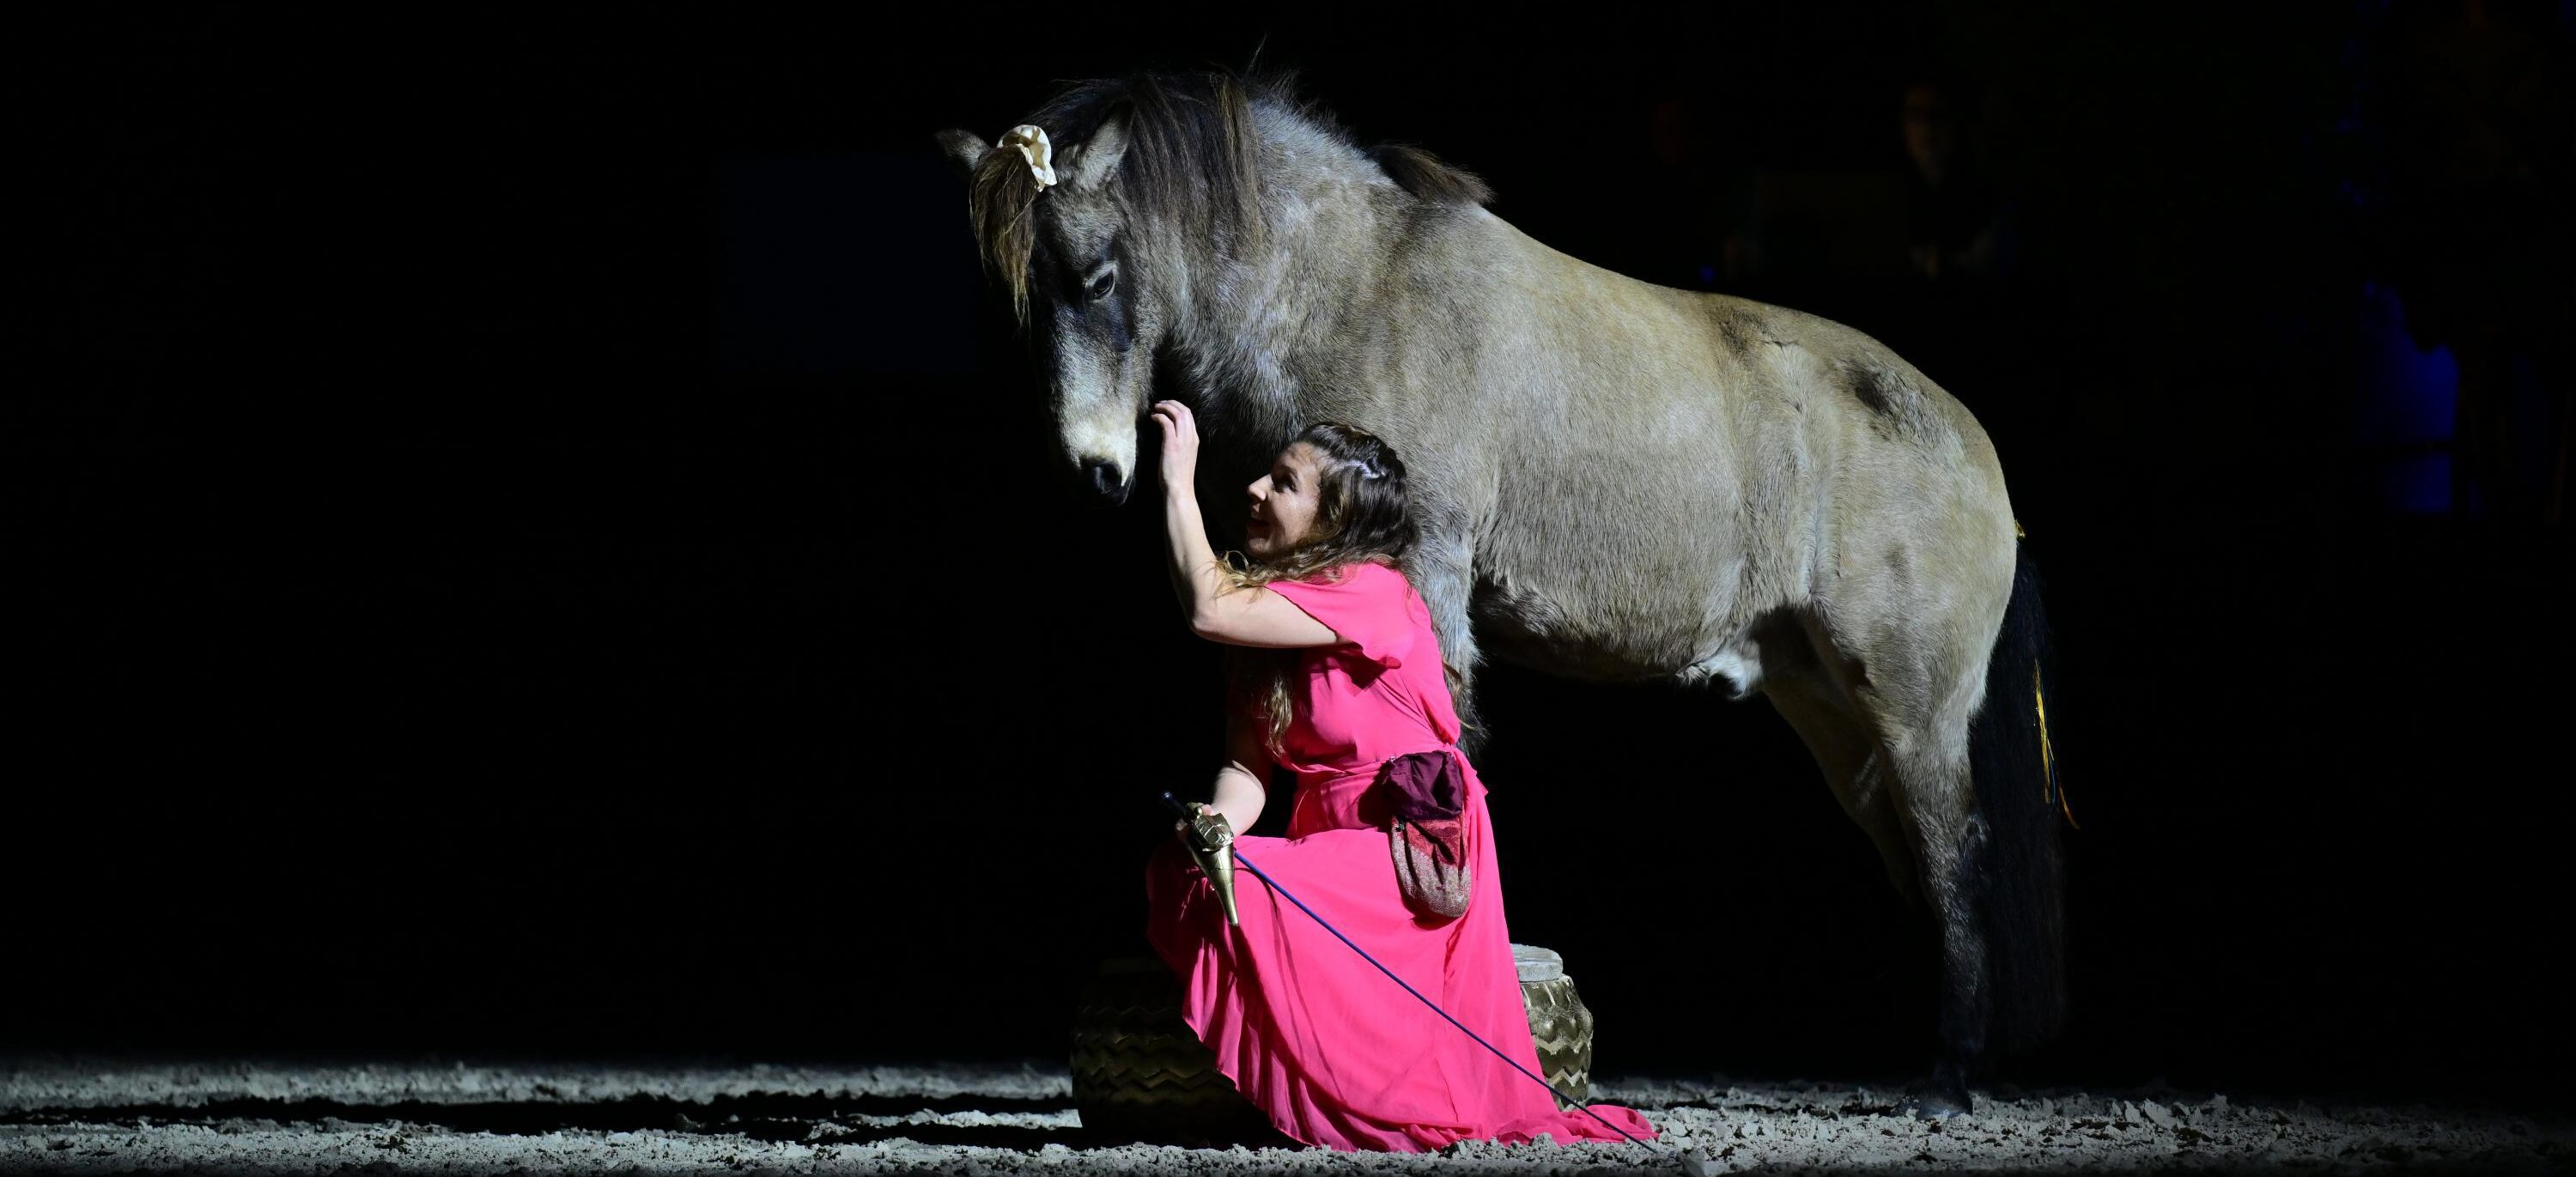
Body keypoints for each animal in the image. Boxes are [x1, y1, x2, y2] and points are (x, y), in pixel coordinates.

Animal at [936, 68, 2065, 1117]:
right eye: (1020, 303)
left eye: (1097, 278)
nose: (1095, 471)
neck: (1347, 291)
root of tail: (1981, 458)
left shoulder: (1429, 576)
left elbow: (1442, 756)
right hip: (1835, 716)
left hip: (1913, 714)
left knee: (1959, 859)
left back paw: (1951, 1076)